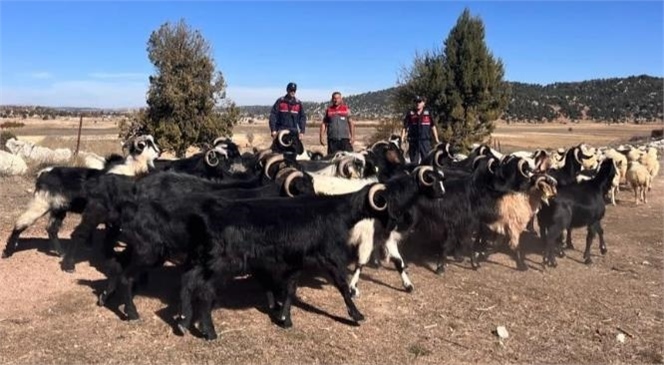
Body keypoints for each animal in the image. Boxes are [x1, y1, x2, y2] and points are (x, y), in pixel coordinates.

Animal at [1, 135, 160, 258]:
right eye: (144, 143)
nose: (160, 151)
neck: (130, 171)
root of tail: (42, 174)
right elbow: (111, 233)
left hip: (59, 208)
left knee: (51, 229)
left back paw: (61, 253)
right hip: (41, 203)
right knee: (21, 223)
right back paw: (8, 252)